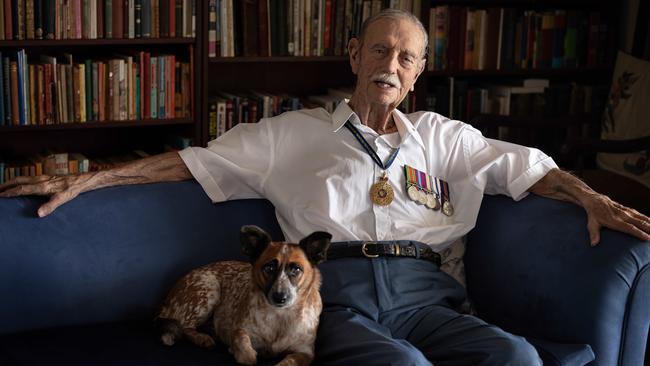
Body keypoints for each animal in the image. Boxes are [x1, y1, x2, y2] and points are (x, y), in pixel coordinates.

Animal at [156, 226, 330, 366]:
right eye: (269, 268)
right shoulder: (240, 330)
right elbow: (242, 343)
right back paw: (201, 338)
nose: (280, 297)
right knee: (184, 326)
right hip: (209, 290)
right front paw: (241, 353)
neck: (280, 316)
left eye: (296, 269)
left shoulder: (305, 353)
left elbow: (289, 361)